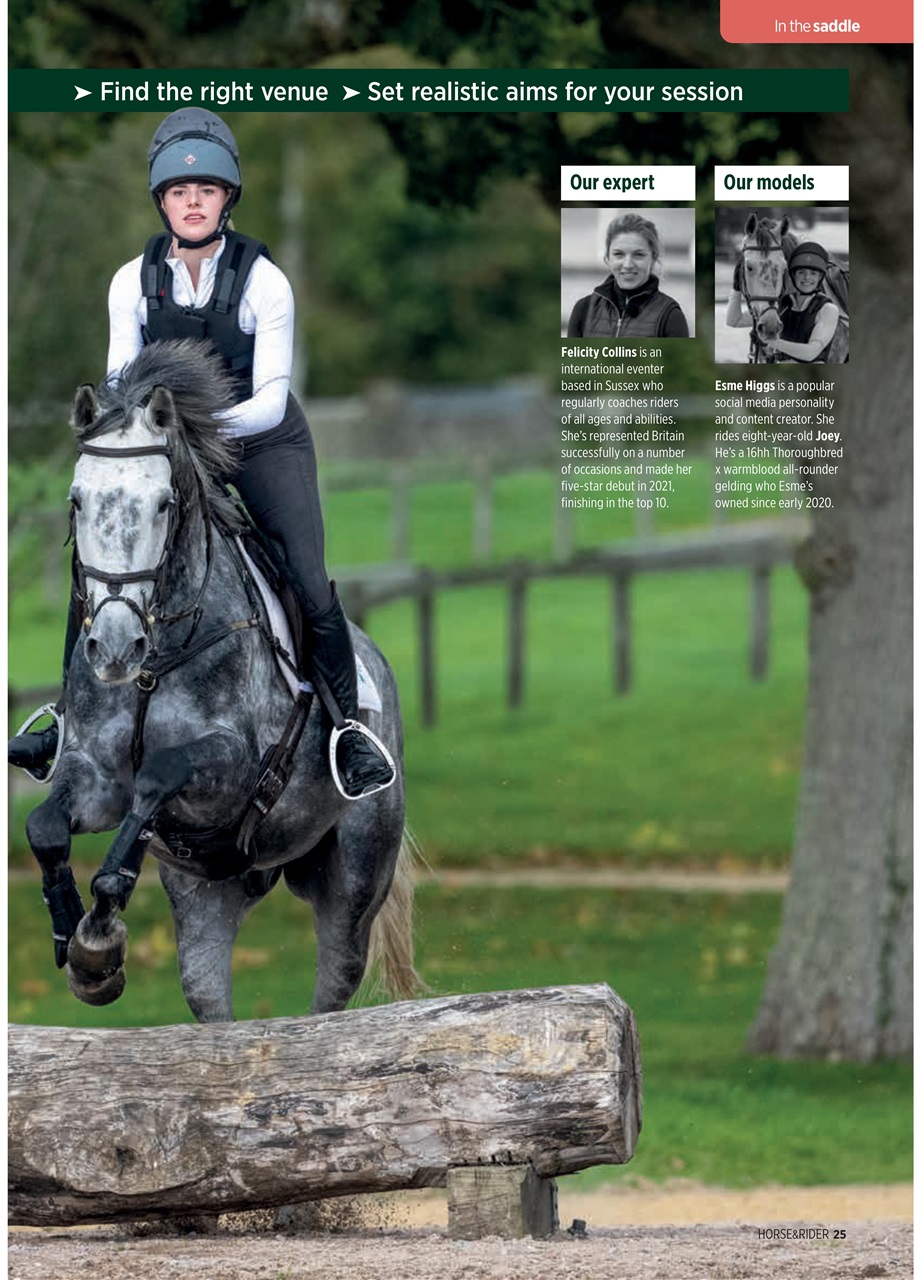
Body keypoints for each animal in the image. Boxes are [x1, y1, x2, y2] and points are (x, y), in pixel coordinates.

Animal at [24, 339, 419, 1022]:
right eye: (76, 500)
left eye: (163, 503)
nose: (116, 647)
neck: (153, 663)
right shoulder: (94, 776)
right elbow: (46, 827)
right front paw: (81, 944)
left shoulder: (231, 769)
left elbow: (158, 776)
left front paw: (99, 938)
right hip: (208, 892)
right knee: (210, 998)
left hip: (355, 878)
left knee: (333, 987)